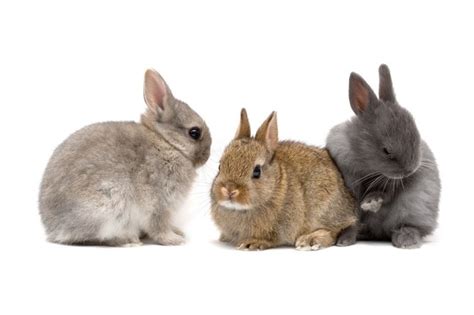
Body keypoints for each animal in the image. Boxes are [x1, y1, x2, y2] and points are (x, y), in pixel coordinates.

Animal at [39, 69, 211, 247]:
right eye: (194, 133)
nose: (207, 156)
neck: (167, 143)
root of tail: (53, 228)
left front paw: (178, 232)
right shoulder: (157, 202)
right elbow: (158, 225)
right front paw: (174, 239)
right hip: (108, 207)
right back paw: (129, 240)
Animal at [210, 109, 356, 252]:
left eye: (257, 171)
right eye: (220, 166)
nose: (229, 190)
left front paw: (252, 243)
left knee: (335, 231)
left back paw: (309, 240)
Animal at [326, 64, 440, 249]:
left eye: (416, 135)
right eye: (386, 150)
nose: (410, 170)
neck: (367, 165)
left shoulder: (392, 184)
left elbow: (385, 194)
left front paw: (371, 202)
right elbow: (353, 217)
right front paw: (345, 239)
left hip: (416, 206)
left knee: (411, 226)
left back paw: (406, 240)